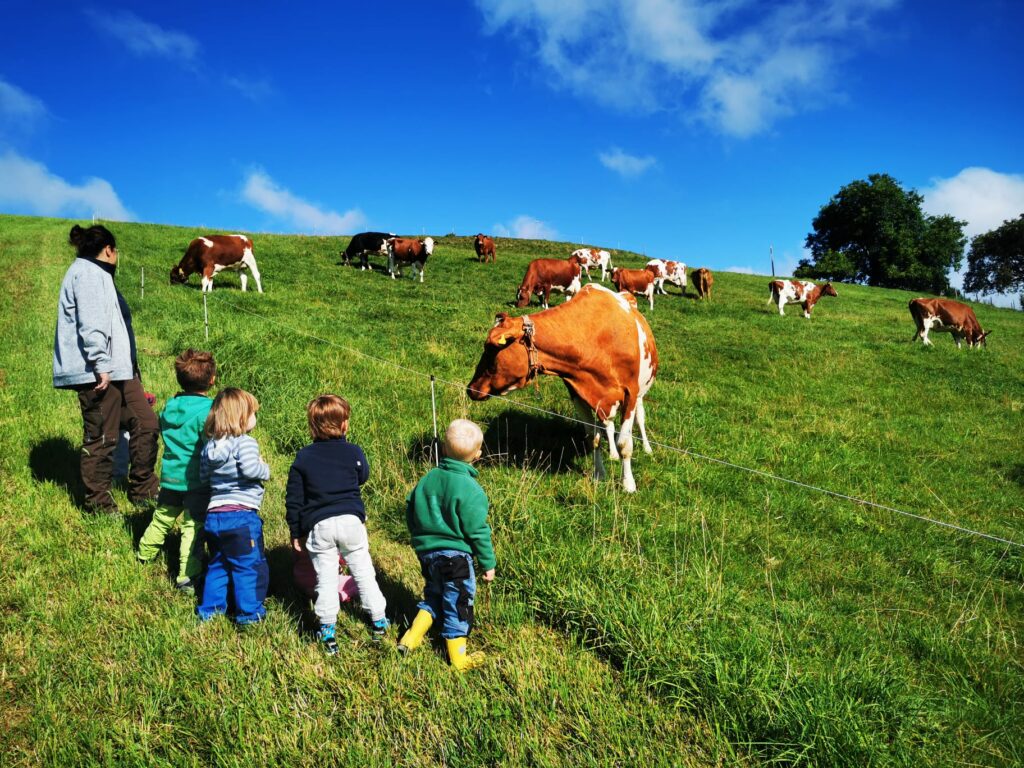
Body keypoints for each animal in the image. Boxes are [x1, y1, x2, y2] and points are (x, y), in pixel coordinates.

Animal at [468, 282, 659, 493]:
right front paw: (599, 474)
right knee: (607, 424)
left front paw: (628, 484)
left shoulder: (630, 394)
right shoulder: (578, 393)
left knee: (639, 419)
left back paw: (647, 448)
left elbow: (625, 443)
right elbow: (593, 438)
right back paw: (613, 454)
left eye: (490, 348)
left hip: (640, 393)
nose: (471, 388)